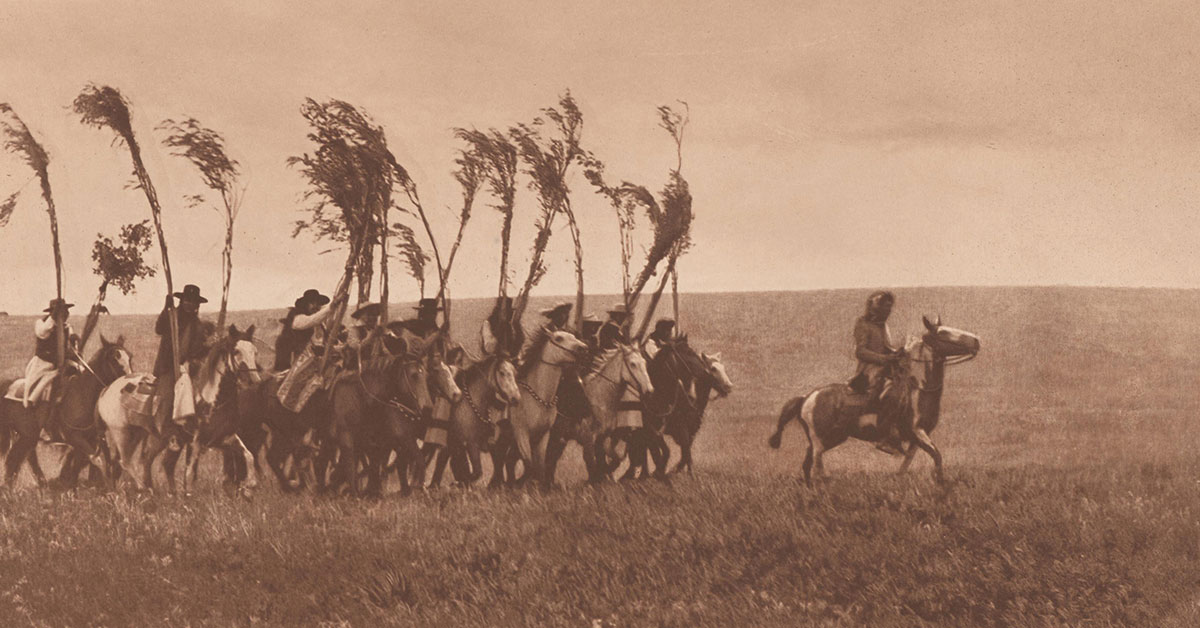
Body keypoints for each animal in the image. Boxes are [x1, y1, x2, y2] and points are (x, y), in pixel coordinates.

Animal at [0, 336, 132, 489]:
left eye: (129, 357)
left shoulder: (91, 439)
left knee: (25, 457)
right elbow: (95, 460)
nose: (129, 385)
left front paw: (72, 485)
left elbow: (80, 462)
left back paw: (39, 484)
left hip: (28, 436)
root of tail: (7, 385)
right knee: (16, 458)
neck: (82, 394)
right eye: (113, 358)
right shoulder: (74, 437)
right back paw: (12, 487)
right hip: (28, 434)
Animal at [763, 317, 979, 489]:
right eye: (944, 333)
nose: (977, 341)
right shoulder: (917, 431)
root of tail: (807, 397)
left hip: (830, 438)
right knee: (817, 464)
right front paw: (942, 487)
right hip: (820, 440)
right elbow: (937, 456)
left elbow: (908, 464)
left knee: (807, 463)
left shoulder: (918, 437)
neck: (919, 388)